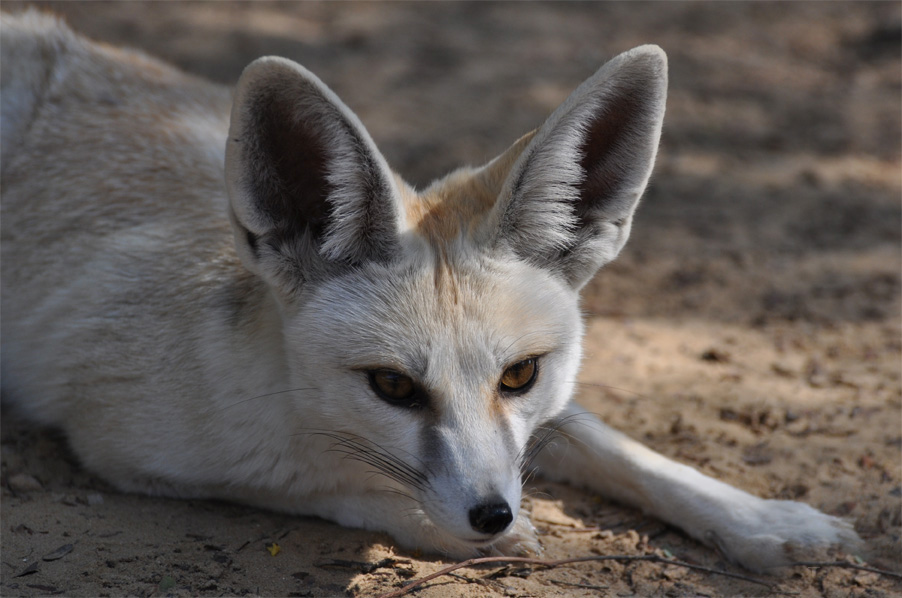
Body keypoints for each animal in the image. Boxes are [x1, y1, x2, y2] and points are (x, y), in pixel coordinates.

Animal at [0, 9, 860, 572]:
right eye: (391, 387)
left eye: (521, 375)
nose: (491, 511)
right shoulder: (115, 442)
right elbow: (313, 487)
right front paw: (454, 528)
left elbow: (609, 443)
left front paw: (755, 515)